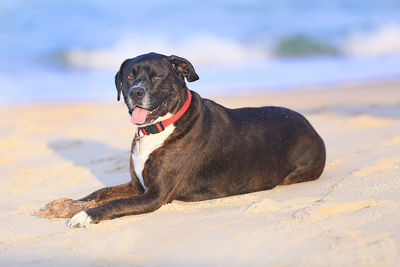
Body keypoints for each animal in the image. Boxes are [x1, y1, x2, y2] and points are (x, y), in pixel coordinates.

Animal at [38, 52, 324, 228]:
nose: (135, 92)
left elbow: (115, 204)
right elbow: (101, 193)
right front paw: (70, 205)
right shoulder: (136, 185)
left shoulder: (154, 195)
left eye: (157, 76)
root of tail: (312, 128)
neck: (159, 128)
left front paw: (84, 216)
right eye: (130, 76)